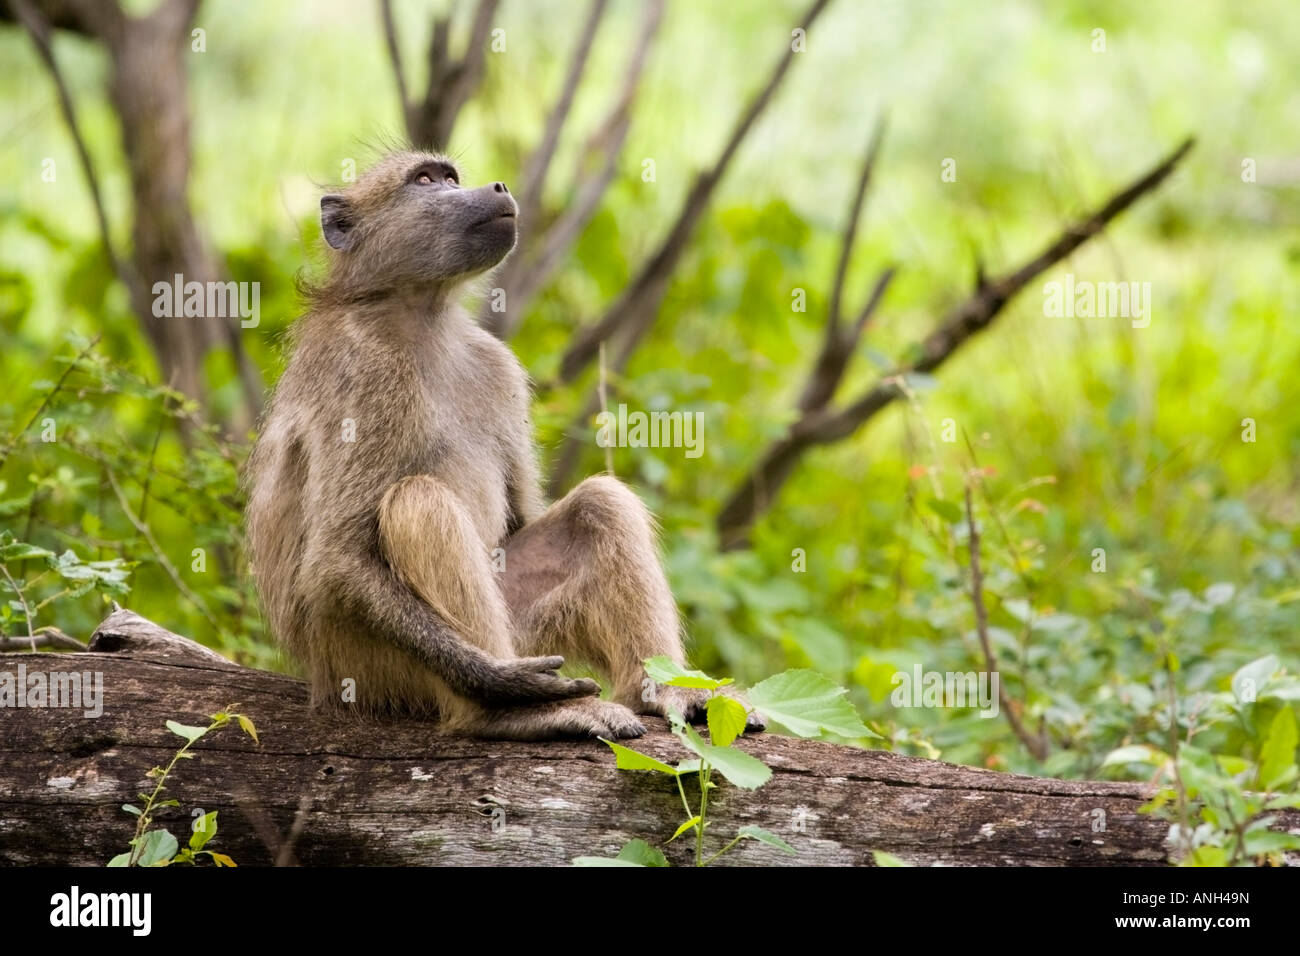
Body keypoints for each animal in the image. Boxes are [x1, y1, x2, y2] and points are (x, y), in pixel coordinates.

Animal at [244, 149, 764, 741]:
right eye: (426, 180)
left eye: (452, 177)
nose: (495, 187)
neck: (420, 314)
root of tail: (320, 679)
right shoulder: (360, 372)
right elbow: (335, 557)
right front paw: (498, 682)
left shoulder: (497, 363)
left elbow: (520, 521)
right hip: (367, 664)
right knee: (419, 502)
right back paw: (510, 709)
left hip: (520, 627)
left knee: (599, 504)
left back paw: (664, 692)